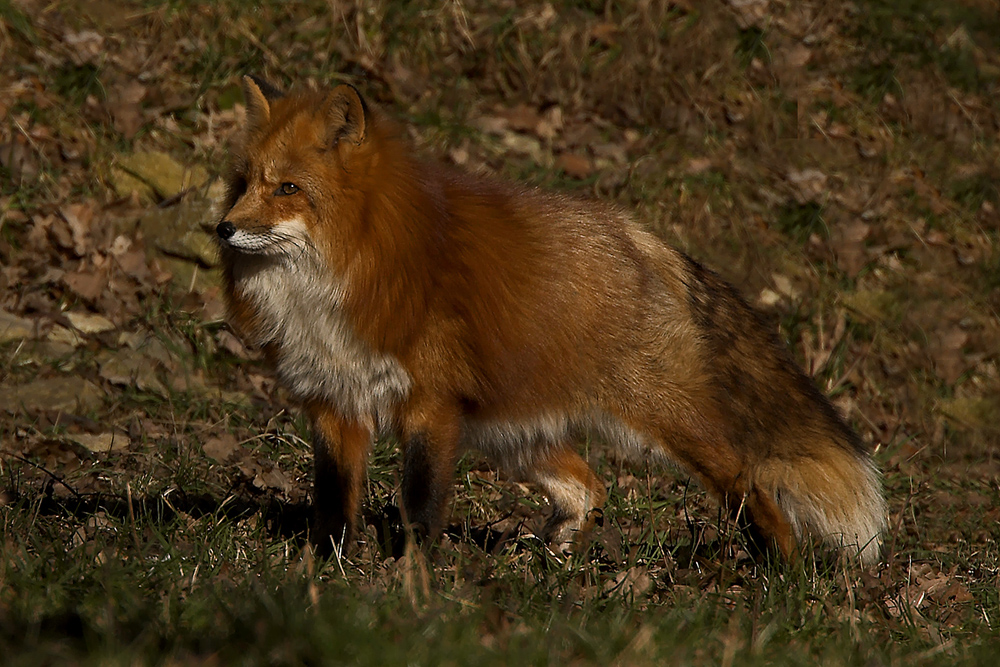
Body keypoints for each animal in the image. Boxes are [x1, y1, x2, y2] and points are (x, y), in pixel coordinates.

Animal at [215, 75, 888, 568]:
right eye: (243, 183)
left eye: (288, 188)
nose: (222, 228)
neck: (336, 278)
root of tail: (641, 238)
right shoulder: (335, 402)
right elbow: (332, 506)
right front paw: (322, 574)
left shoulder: (431, 407)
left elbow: (420, 505)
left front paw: (412, 577)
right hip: (513, 434)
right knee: (589, 486)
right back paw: (556, 565)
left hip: (669, 426)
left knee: (750, 486)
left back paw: (782, 575)